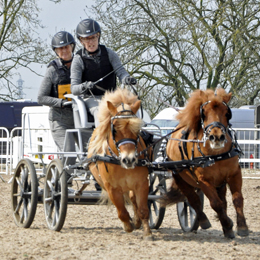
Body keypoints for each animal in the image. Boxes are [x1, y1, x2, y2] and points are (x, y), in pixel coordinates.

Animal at [87, 88, 153, 241]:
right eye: (115, 129)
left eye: (138, 130)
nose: (129, 160)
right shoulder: (112, 188)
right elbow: (121, 211)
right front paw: (127, 225)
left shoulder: (142, 184)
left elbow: (143, 209)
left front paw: (147, 232)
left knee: (133, 199)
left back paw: (137, 221)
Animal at [166, 88, 249, 239]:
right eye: (203, 113)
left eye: (227, 113)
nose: (216, 137)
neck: (216, 154)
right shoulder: (204, 181)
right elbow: (215, 203)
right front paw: (228, 224)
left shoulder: (234, 174)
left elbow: (237, 199)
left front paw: (241, 226)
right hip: (180, 177)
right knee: (192, 199)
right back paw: (203, 220)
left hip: (219, 182)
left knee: (223, 200)